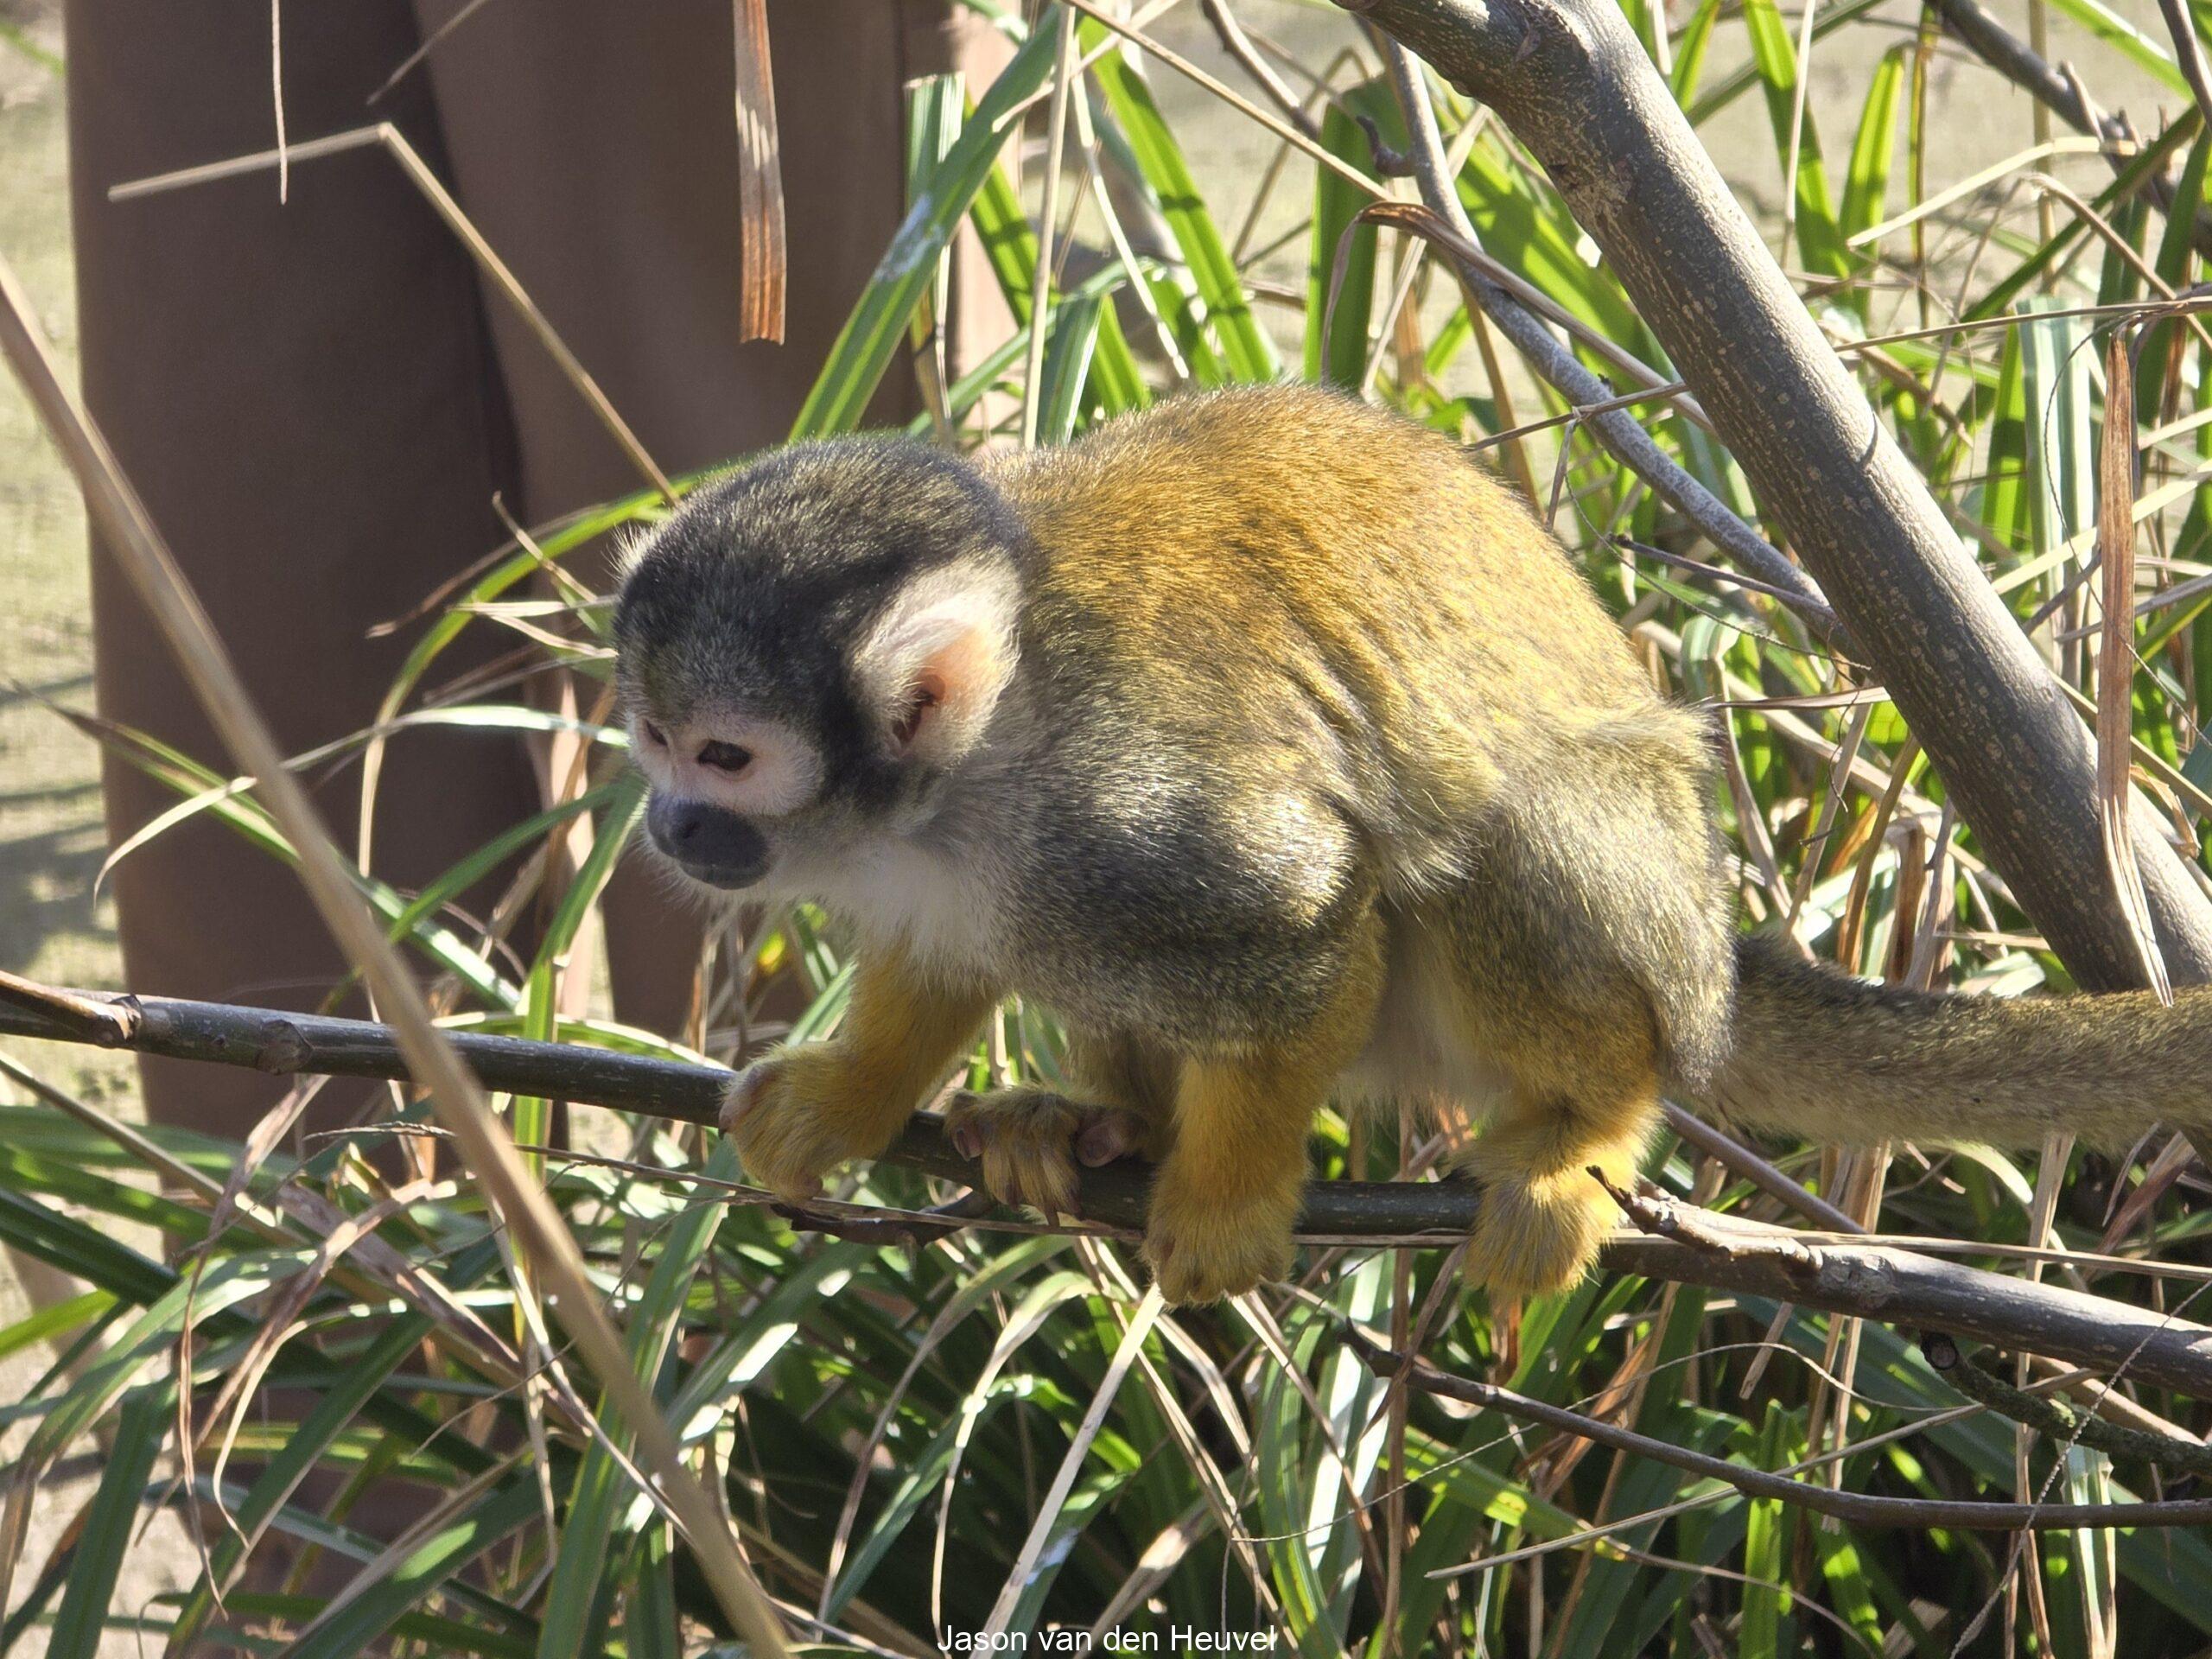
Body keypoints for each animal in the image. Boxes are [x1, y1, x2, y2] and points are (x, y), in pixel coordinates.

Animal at [614, 382, 2212, 1309]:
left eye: (724, 755)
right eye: (648, 737)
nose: (668, 824)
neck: (969, 779)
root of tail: (1713, 956)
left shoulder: (1129, 818)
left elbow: (1307, 936)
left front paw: (1234, 1196)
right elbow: (942, 958)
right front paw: (854, 1097)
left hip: (1630, 928)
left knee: (1497, 840)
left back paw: (1589, 1126)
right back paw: (1096, 1126)